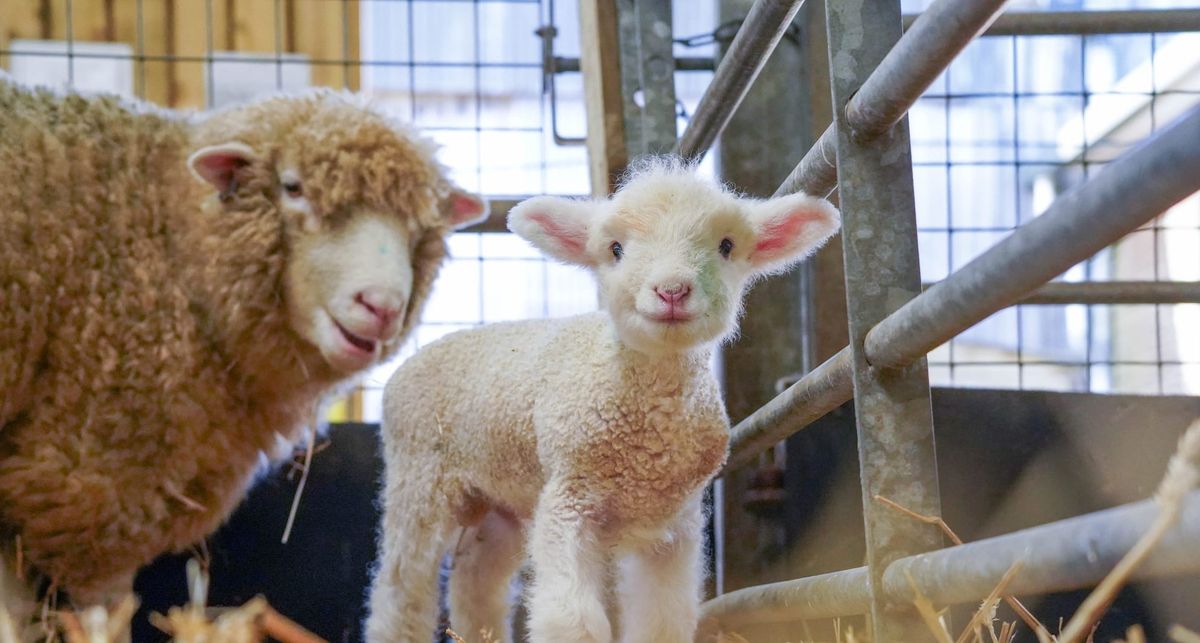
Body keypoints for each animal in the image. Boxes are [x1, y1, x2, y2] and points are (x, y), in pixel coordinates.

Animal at [365, 160, 840, 643]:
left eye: (726, 246)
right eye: (616, 249)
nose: (672, 290)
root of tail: (410, 363)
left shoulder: (672, 526)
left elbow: (663, 618)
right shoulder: (568, 499)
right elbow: (573, 621)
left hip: (504, 498)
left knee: (476, 580)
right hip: (419, 481)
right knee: (401, 588)